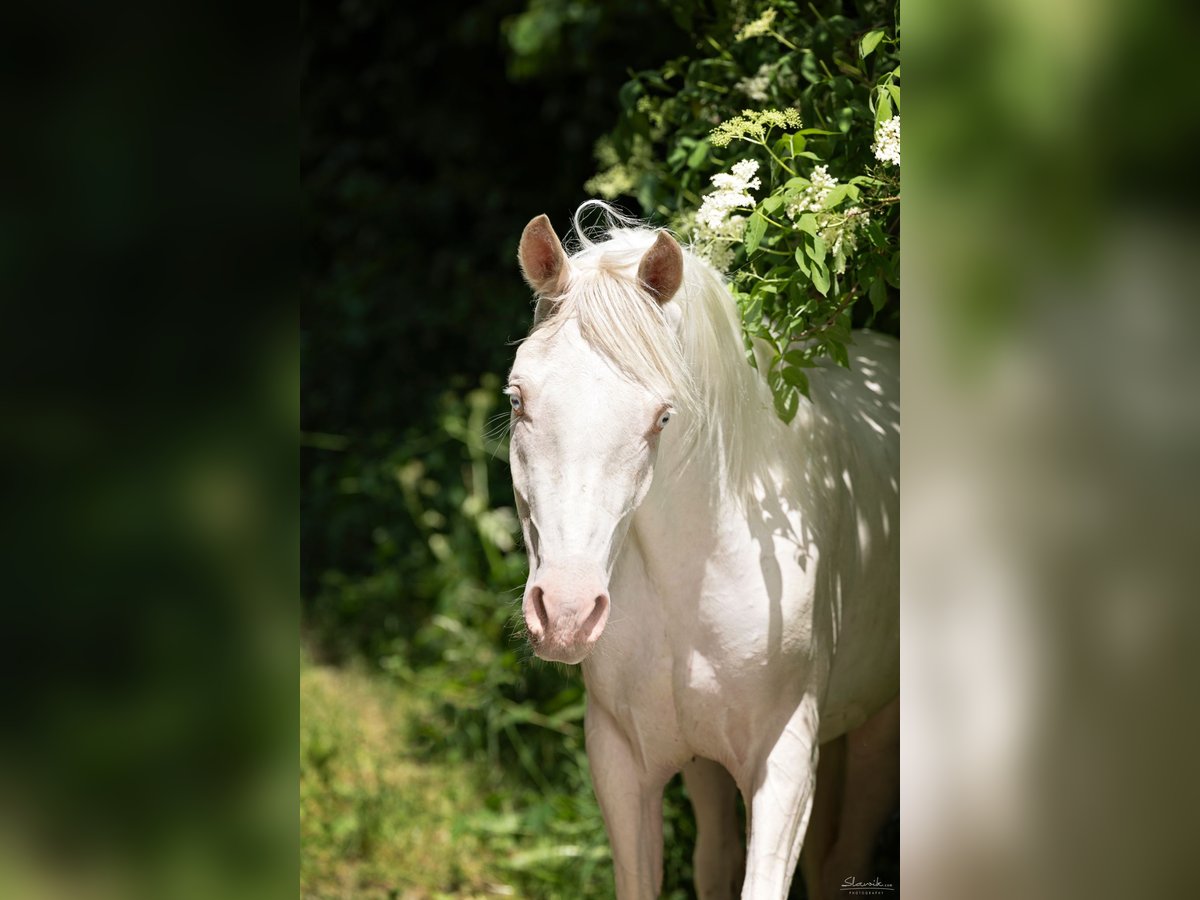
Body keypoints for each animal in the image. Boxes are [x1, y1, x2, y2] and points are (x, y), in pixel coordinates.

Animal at [501, 206, 897, 900]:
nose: (567, 613)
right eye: (517, 398)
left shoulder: (785, 766)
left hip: (882, 727)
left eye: (662, 417)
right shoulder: (621, 762)